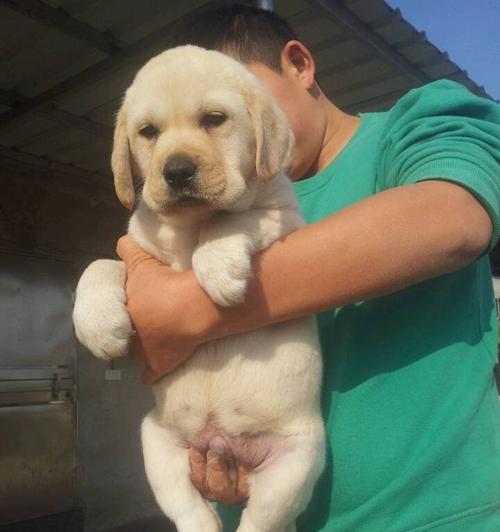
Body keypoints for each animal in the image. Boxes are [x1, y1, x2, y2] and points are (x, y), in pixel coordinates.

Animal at [73, 45, 324, 532]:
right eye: (148, 133)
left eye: (214, 119)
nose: (176, 171)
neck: (188, 228)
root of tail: (223, 444)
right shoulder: (138, 248)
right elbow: (99, 264)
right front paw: (98, 325)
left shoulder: (284, 218)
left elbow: (231, 217)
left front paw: (219, 266)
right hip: (156, 444)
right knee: (193, 513)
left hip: (297, 462)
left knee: (260, 521)